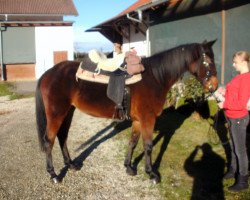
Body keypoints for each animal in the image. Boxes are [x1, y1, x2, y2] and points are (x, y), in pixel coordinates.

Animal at [35, 39, 219, 184]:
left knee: (62, 137)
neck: (155, 77)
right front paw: (151, 173)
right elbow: (148, 145)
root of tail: (48, 73)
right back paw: (53, 174)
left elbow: (133, 142)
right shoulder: (148, 119)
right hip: (56, 114)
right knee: (49, 140)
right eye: (208, 61)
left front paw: (129, 167)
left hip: (68, 112)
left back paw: (71, 164)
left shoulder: (138, 120)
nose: (215, 87)